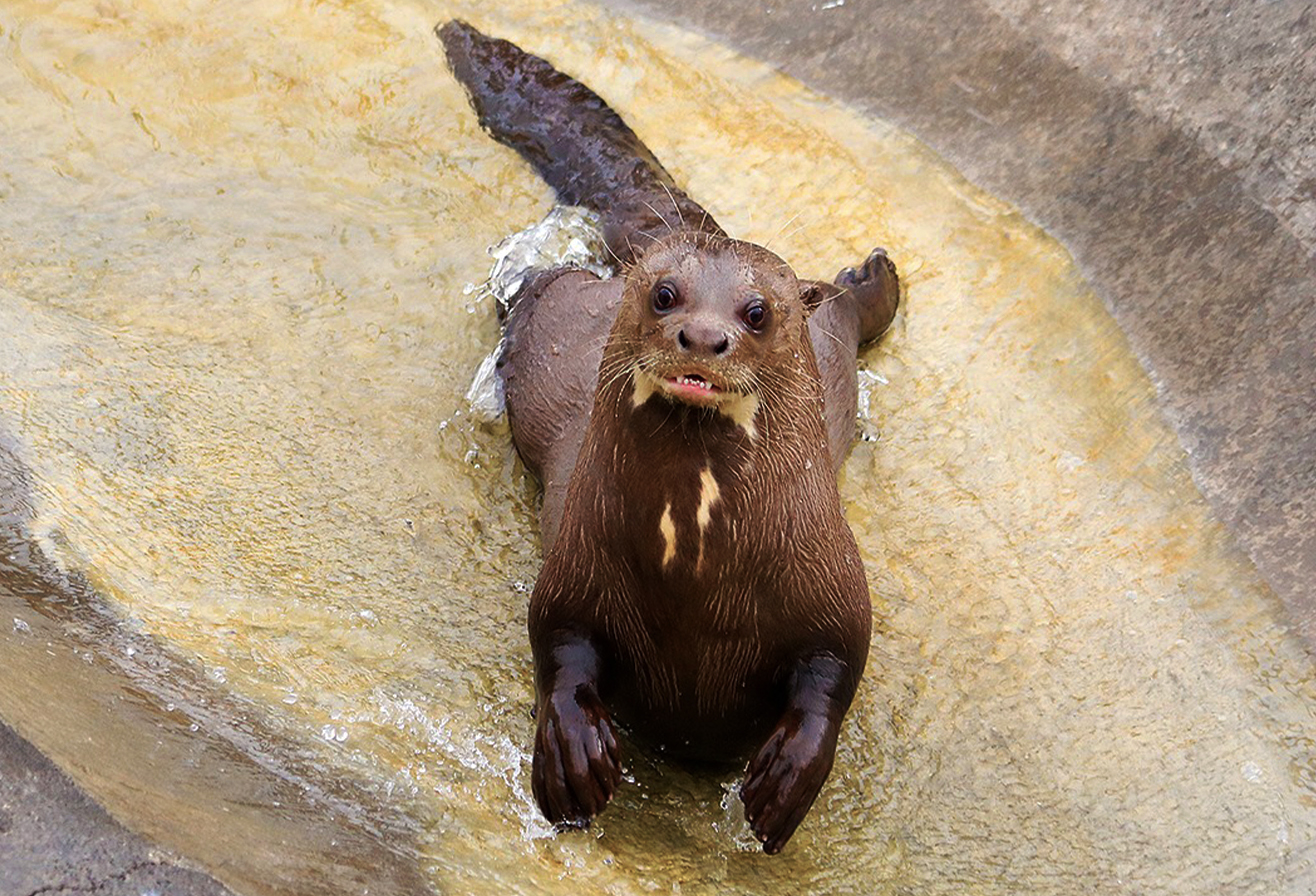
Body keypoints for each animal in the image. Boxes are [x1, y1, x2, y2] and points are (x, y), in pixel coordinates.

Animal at [436, 20, 900, 852]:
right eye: (664, 294)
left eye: (755, 312)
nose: (702, 337)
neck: (700, 572)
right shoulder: (580, 558)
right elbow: (558, 644)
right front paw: (572, 759)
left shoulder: (830, 579)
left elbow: (836, 672)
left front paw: (783, 784)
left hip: (827, 347)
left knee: (839, 308)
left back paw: (875, 278)